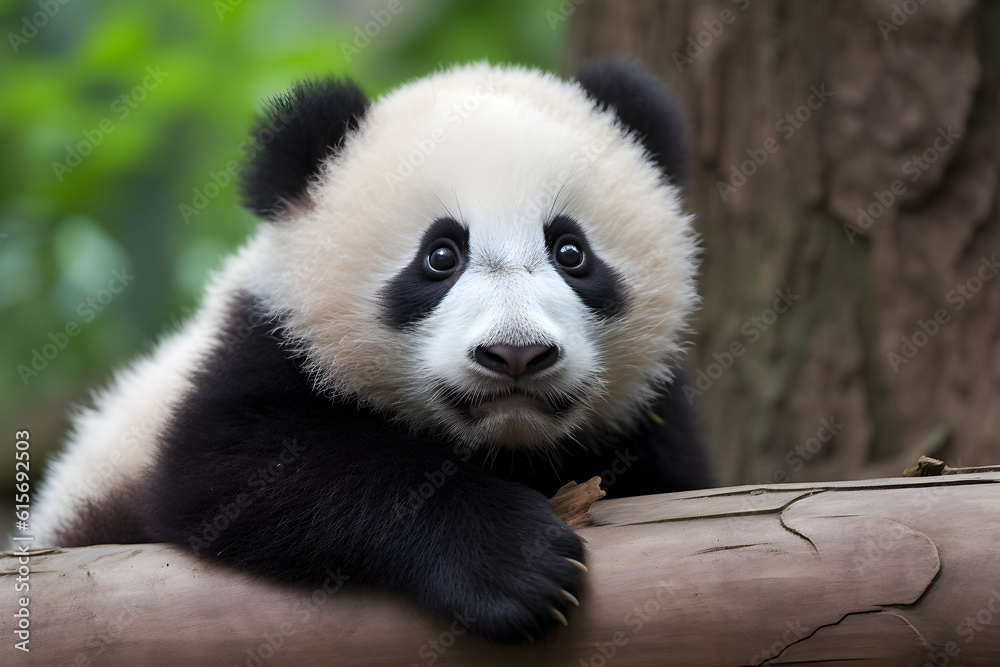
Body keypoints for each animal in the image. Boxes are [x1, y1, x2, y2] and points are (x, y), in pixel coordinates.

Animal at [31, 59, 712, 644]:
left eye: (571, 252)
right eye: (441, 256)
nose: (515, 354)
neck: (505, 446)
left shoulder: (648, 418)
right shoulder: (261, 344)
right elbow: (237, 470)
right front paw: (516, 564)